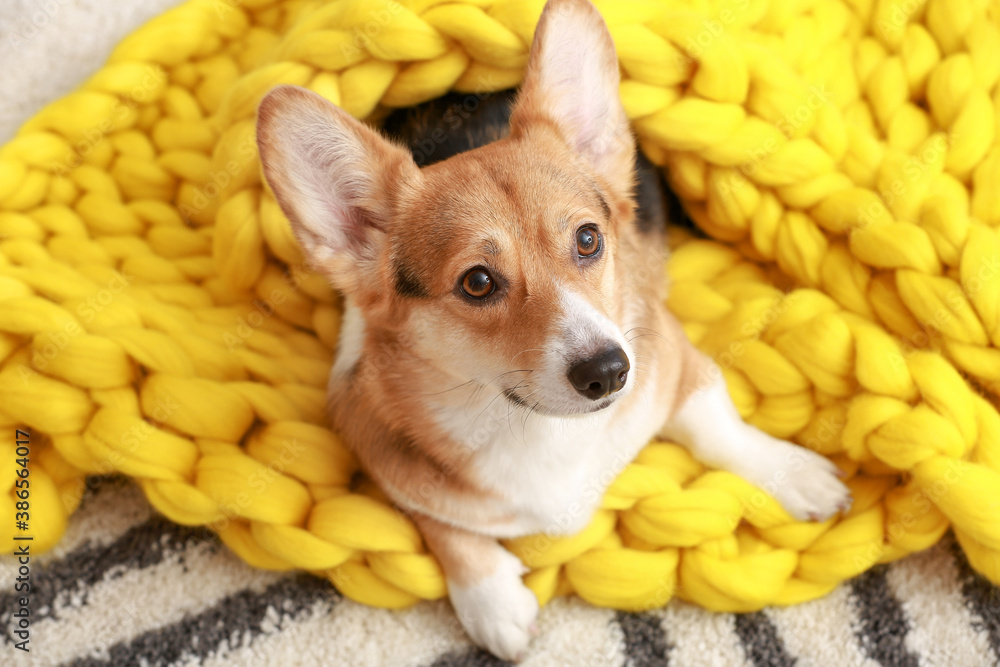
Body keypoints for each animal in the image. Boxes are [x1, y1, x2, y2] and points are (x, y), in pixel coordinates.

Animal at [254, 0, 848, 656]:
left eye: (588, 239)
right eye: (477, 282)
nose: (609, 372)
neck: (534, 427)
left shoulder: (674, 358)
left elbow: (719, 426)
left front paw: (794, 473)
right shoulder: (374, 443)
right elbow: (441, 524)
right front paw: (490, 600)